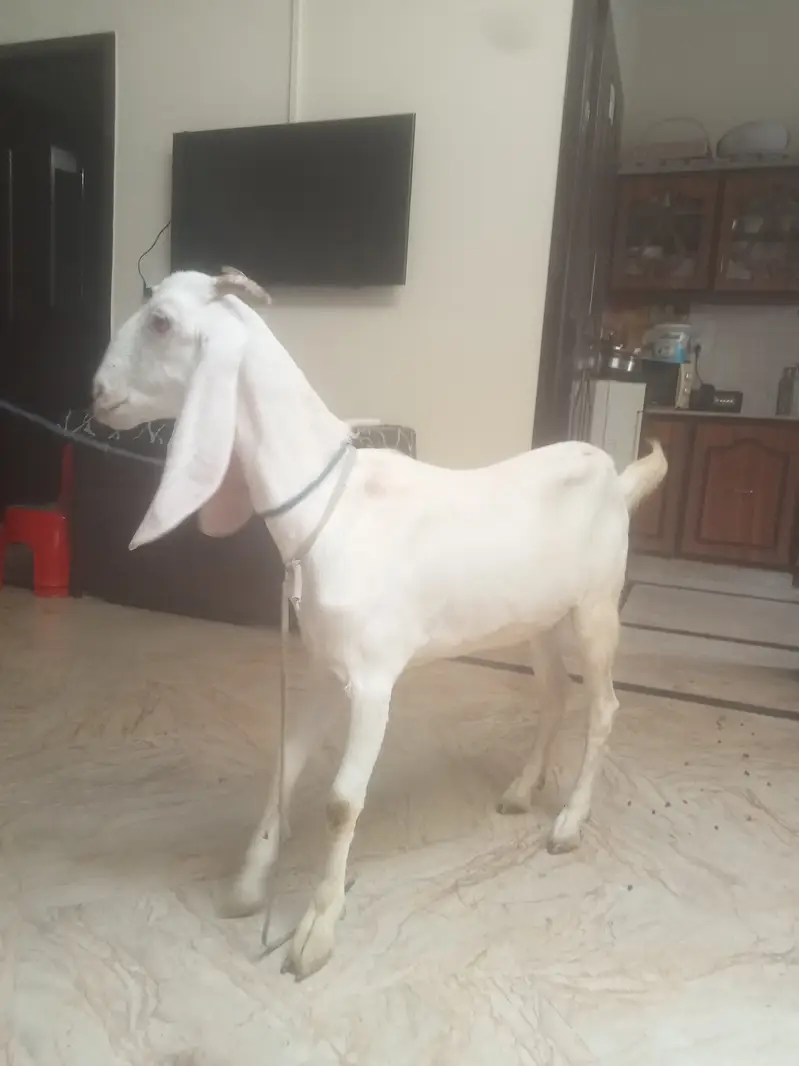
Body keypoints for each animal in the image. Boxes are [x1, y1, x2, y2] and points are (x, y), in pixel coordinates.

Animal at [92, 268, 667, 979]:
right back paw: (520, 790)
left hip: (595, 608)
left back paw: (566, 824)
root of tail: (616, 477)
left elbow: (342, 801)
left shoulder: (372, 682)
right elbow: (285, 764)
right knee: (556, 697)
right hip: (539, 619)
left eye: (162, 321)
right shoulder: (322, 665)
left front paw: (314, 931)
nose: (97, 395)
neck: (332, 509)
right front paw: (250, 885)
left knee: (604, 706)